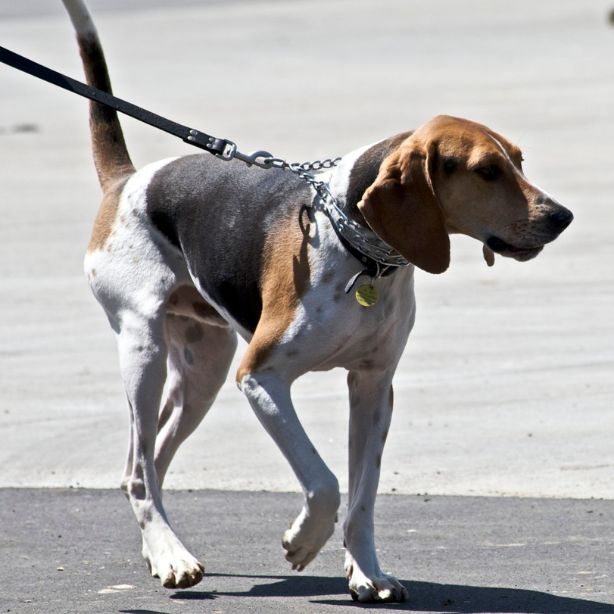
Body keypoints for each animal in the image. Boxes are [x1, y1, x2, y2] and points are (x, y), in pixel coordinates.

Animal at [62, 0, 572, 608]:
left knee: (148, 462)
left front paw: (367, 572)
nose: (562, 216)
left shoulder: (374, 387)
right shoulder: (261, 377)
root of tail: (129, 179)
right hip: (146, 351)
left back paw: (161, 552)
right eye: (487, 171)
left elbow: (362, 497)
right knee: (140, 469)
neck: (363, 252)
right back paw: (172, 558)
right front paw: (302, 542)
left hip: (203, 370)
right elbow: (325, 482)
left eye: (518, 160)